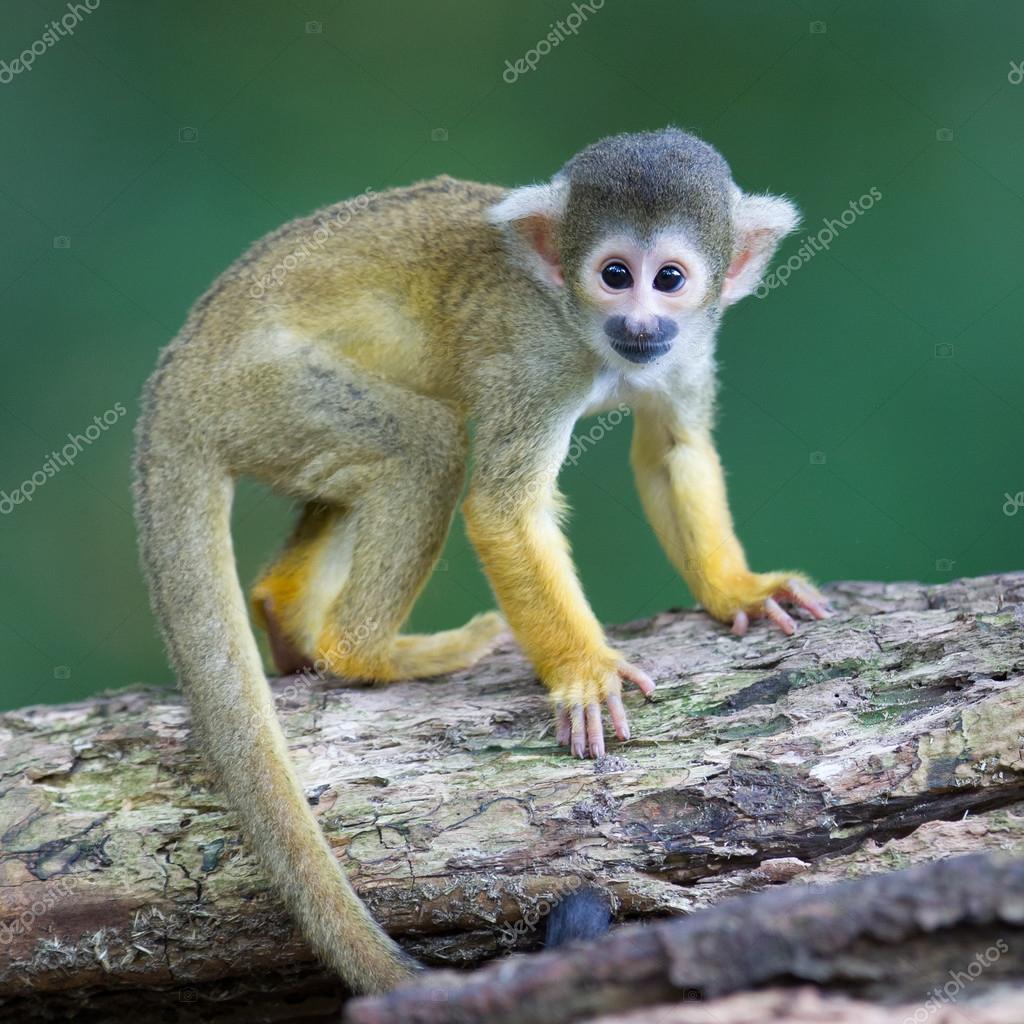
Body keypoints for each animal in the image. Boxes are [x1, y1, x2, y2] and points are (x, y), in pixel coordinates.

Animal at [133, 127, 830, 995]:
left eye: (669, 279)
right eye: (614, 275)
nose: (639, 322)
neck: (581, 325)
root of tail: (178, 374)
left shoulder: (688, 343)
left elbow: (673, 449)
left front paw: (737, 590)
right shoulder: (534, 358)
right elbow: (502, 509)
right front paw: (584, 673)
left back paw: (286, 615)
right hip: (264, 394)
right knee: (425, 444)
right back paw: (368, 652)